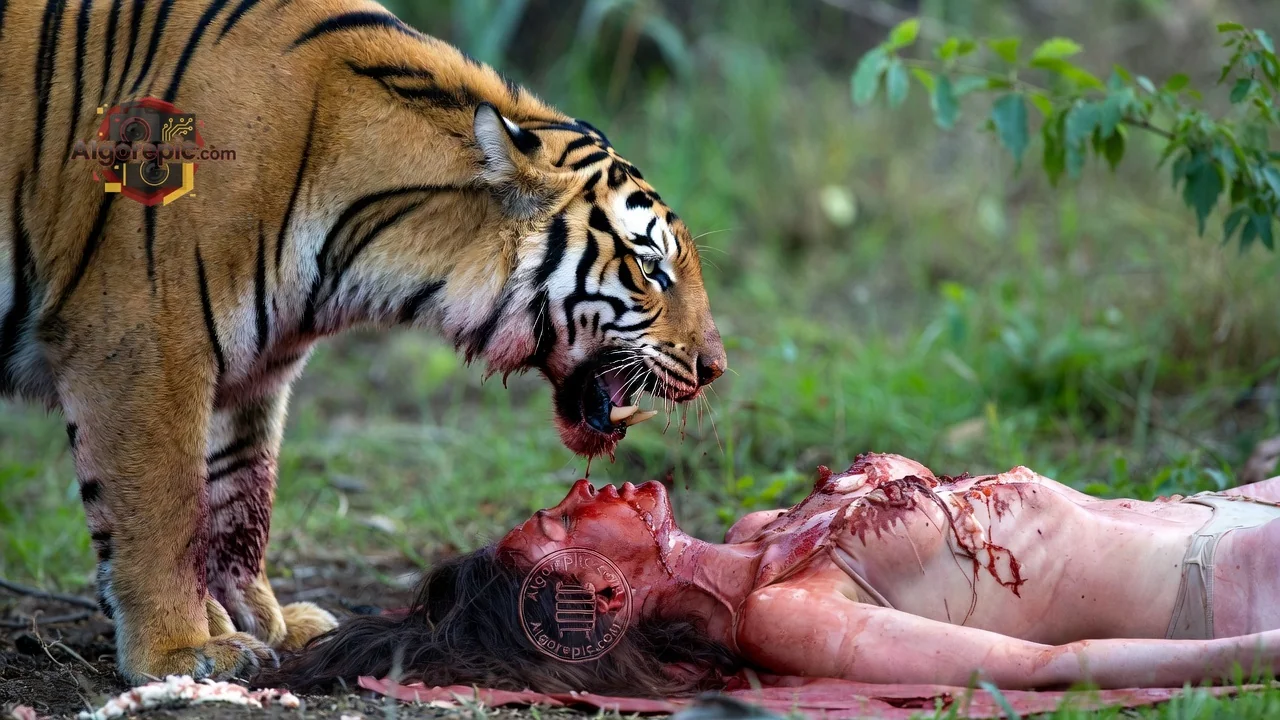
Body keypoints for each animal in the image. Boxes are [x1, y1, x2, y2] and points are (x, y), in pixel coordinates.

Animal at [0, 0, 726, 685]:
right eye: (652, 269)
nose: (716, 365)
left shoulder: (252, 371)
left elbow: (241, 500)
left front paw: (261, 622)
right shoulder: (142, 343)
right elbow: (162, 512)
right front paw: (183, 651)